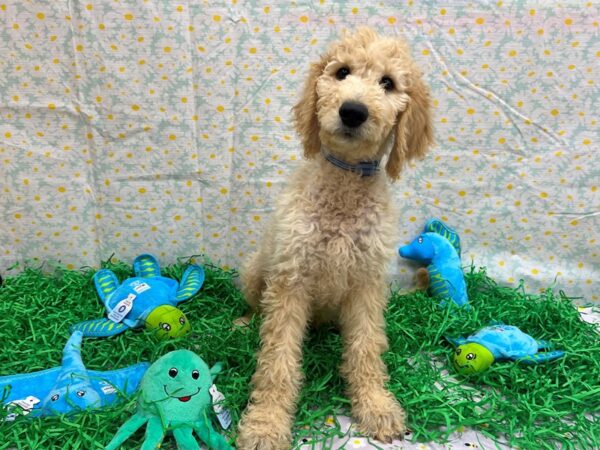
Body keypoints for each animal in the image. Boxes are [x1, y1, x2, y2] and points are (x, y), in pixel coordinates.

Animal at [237, 28, 434, 450]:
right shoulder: (290, 282)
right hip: (255, 271)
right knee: (256, 309)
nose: (353, 111)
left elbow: (365, 349)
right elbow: (277, 360)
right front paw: (266, 425)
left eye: (388, 83)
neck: (343, 187)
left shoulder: (366, 285)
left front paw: (376, 407)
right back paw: (243, 323)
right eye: (342, 72)